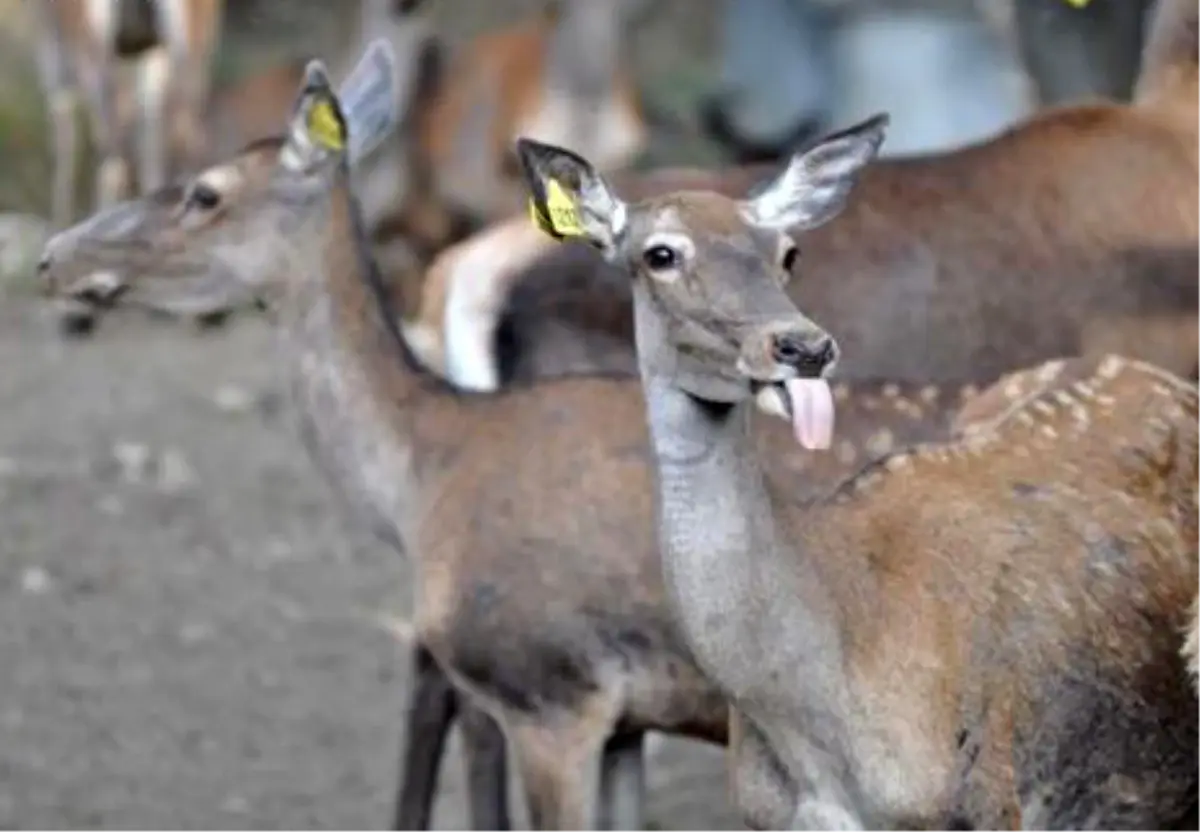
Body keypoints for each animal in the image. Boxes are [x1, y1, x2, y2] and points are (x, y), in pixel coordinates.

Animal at [32, 0, 225, 229]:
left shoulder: (56, 52)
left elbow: (64, 136)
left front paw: (60, 224)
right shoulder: (145, 55)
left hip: (98, 56)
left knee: (113, 157)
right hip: (189, 55)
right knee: (190, 141)